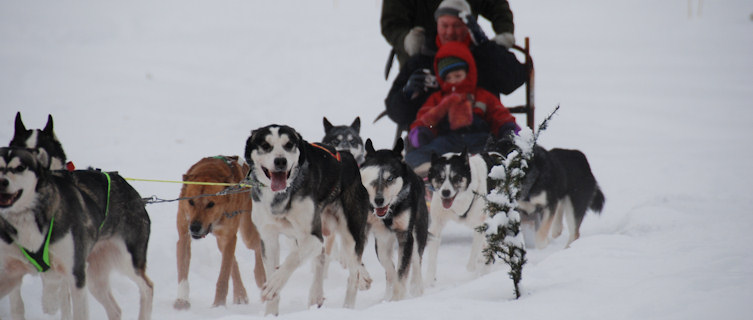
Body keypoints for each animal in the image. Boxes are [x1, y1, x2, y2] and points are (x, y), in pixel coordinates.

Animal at [244, 124, 370, 316]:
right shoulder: (269, 237)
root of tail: (346, 156)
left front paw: (274, 283)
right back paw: (316, 294)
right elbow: (274, 268)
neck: (281, 196)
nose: (280, 161)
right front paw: (271, 313)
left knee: (352, 275)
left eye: (289, 144)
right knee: (321, 258)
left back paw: (347, 307)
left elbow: (292, 259)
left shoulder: (313, 236)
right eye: (266, 145)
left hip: (350, 236)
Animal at [360, 139, 428, 302]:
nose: (378, 200)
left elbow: (402, 271)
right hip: (381, 244)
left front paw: (397, 299)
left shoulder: (405, 235)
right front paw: (363, 279)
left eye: (390, 178)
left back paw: (416, 287)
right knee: (389, 268)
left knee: (416, 260)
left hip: (418, 232)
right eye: (371, 179)